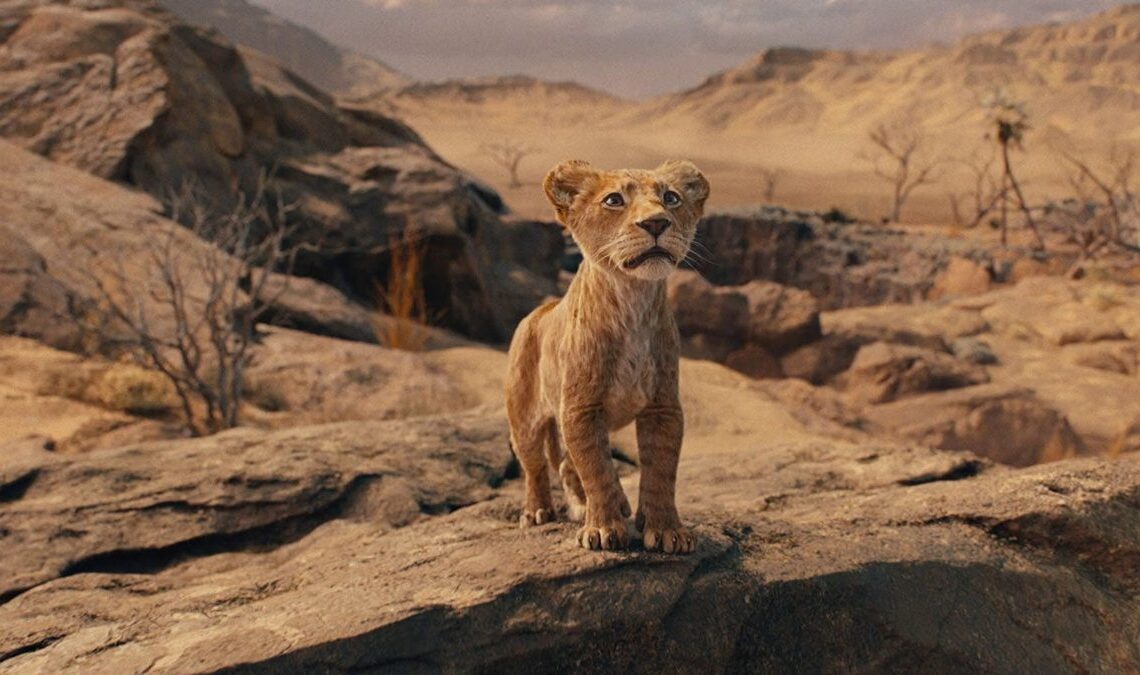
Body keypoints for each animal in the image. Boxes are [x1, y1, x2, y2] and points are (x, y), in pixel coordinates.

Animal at [505, 159, 709, 553]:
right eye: (614, 200)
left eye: (671, 198)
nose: (656, 223)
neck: (632, 302)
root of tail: (540, 310)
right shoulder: (581, 409)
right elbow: (597, 469)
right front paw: (602, 529)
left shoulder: (663, 406)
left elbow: (661, 470)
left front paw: (666, 530)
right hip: (524, 419)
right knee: (536, 466)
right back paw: (538, 511)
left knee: (568, 465)